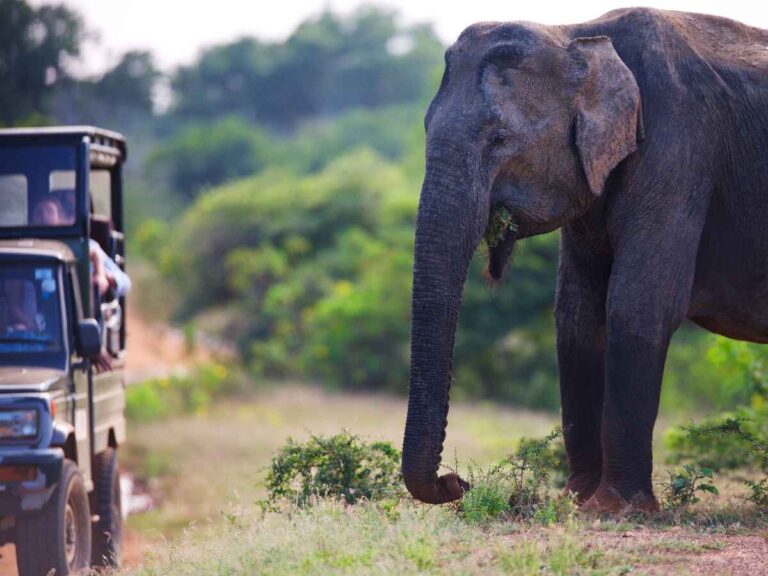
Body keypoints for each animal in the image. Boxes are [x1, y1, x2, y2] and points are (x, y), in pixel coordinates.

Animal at [401, 7, 768, 513]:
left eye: (499, 139)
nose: (459, 482)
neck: (578, 34)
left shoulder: (681, 148)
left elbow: (639, 305)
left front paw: (615, 510)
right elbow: (577, 315)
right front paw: (574, 501)